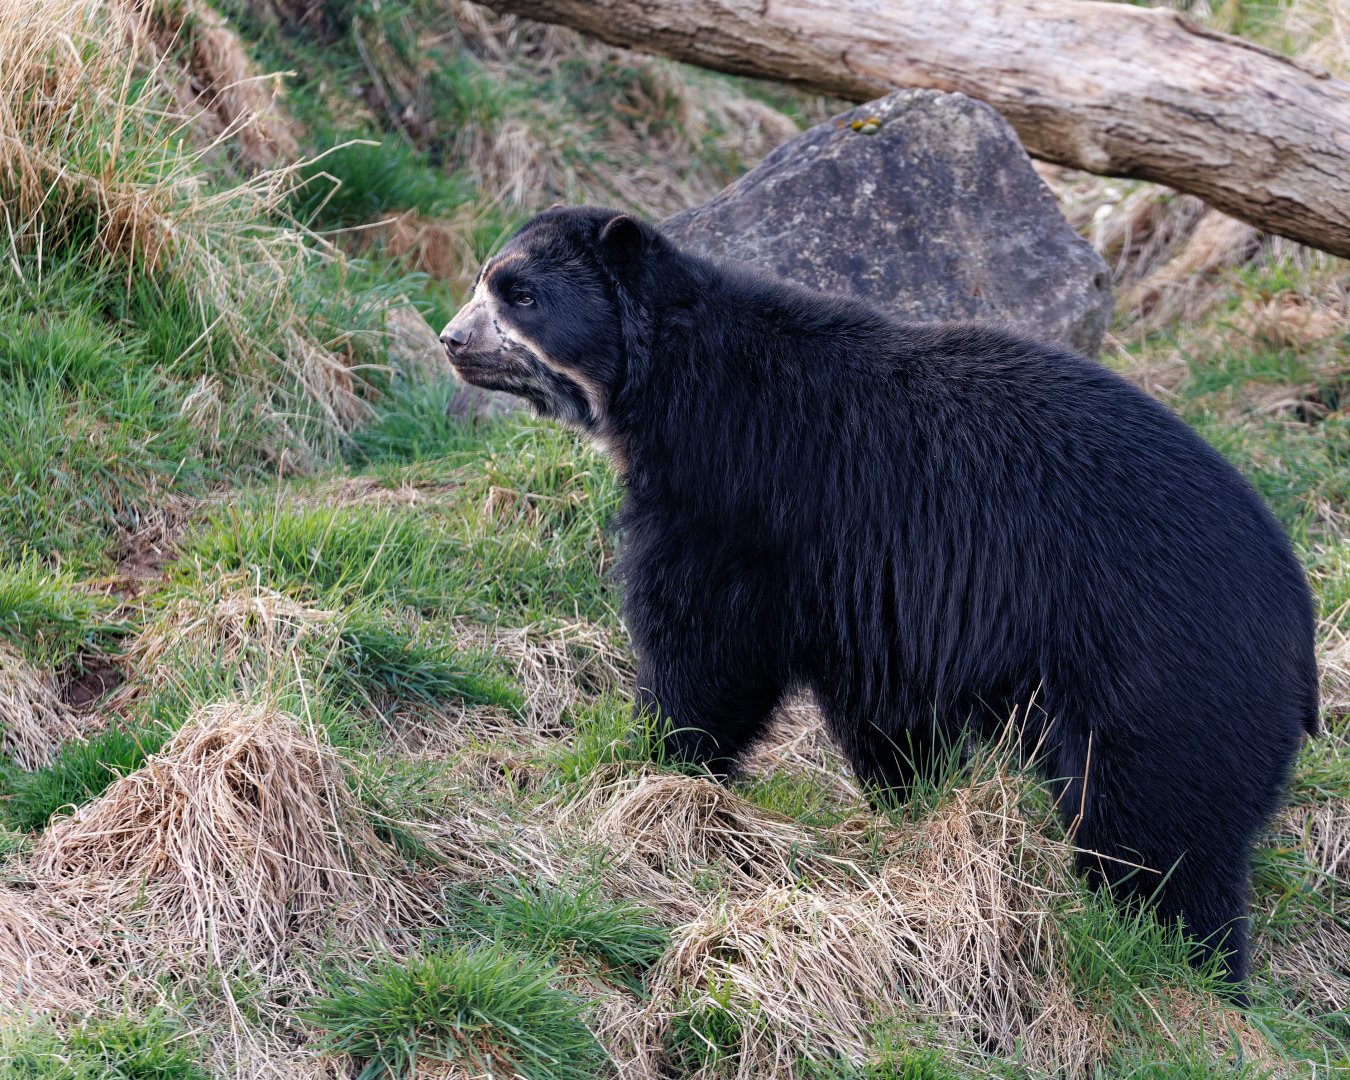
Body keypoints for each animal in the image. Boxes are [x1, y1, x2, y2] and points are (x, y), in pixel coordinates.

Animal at [440, 205, 1319, 988]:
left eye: (521, 295)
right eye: (485, 279)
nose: (451, 339)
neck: (674, 387)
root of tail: (1301, 626)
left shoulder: (749, 496)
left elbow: (710, 642)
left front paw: (661, 755)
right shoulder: (864, 582)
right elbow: (879, 700)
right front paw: (908, 800)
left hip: (1159, 673)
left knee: (1155, 829)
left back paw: (1183, 960)